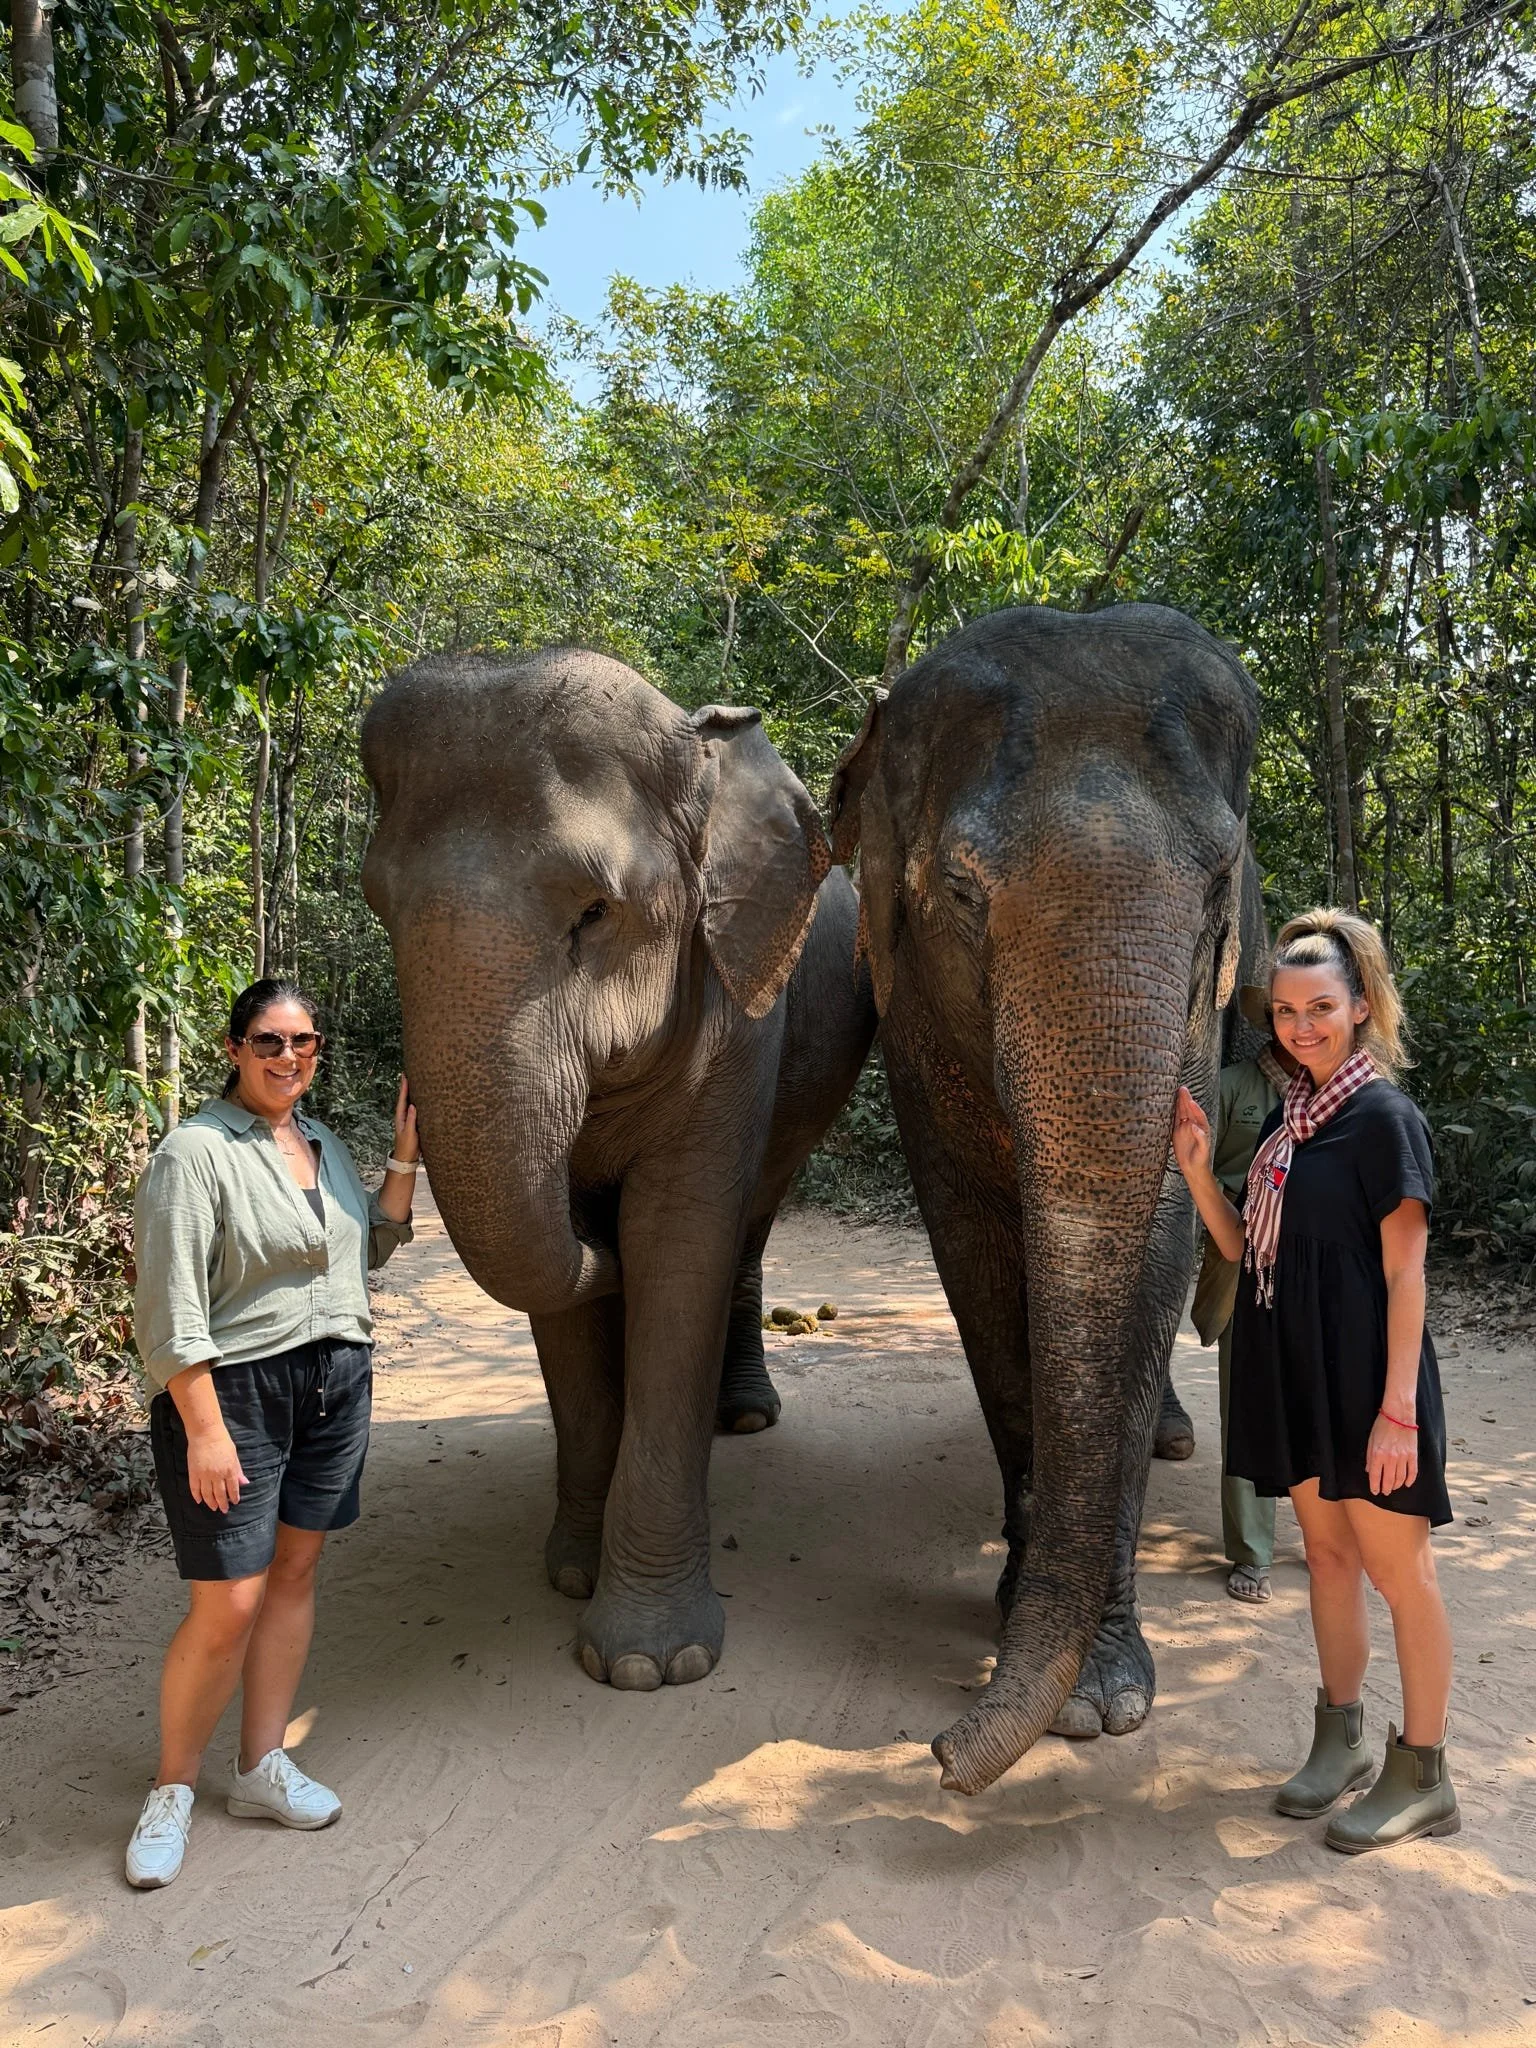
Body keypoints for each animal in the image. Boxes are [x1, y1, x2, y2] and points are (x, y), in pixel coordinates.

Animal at [361, 647, 877, 1690]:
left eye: (595, 912)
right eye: (376, 904)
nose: (594, 1234)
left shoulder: (740, 1021)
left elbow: (678, 1244)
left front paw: (650, 1664)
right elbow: (560, 1305)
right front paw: (571, 1573)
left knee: (749, 1222)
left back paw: (744, 1417)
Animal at [828, 602, 1258, 1794]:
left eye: (1220, 887)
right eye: (962, 896)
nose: (940, 1753)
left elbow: (1161, 1239)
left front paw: (1103, 1698)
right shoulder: (909, 1016)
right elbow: (971, 1240)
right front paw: (1022, 1617)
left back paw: (1170, 1440)